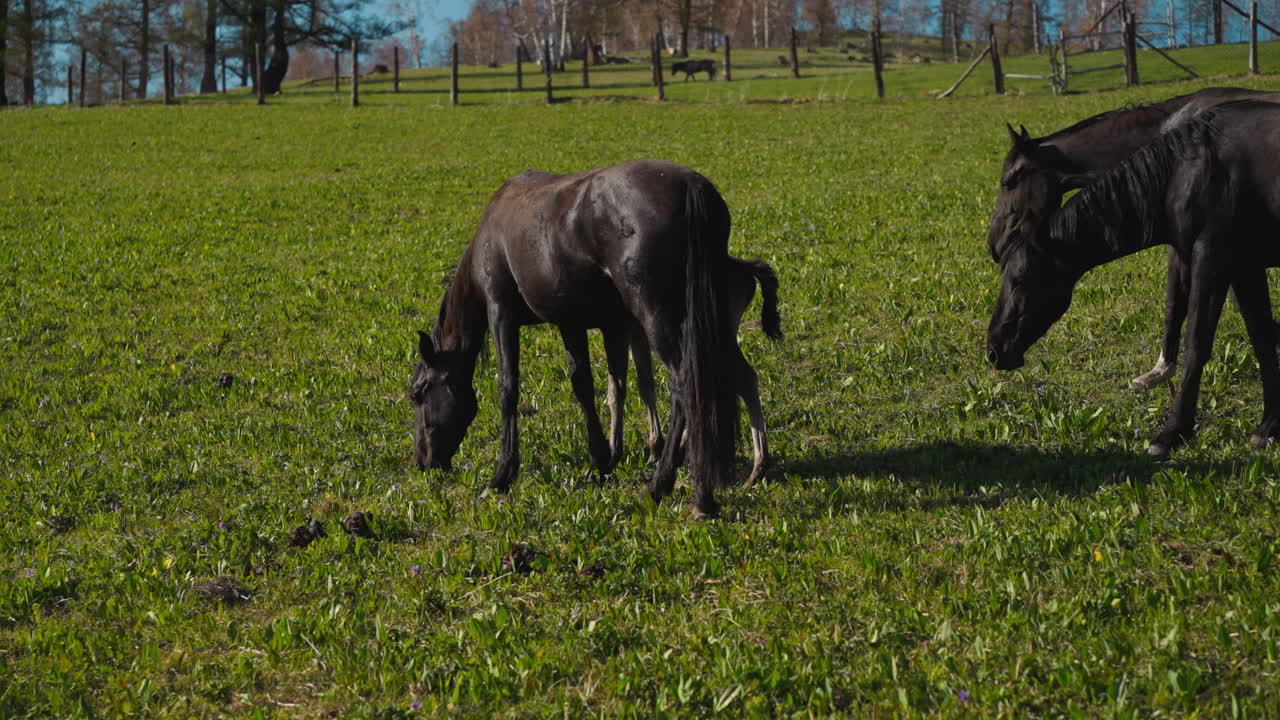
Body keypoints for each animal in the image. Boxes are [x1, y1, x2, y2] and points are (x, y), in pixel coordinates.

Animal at [410, 159, 740, 518]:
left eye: (418, 393)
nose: (422, 462)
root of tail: (690, 186)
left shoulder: (501, 314)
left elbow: (508, 389)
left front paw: (501, 476)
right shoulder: (570, 322)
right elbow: (584, 385)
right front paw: (600, 461)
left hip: (656, 315)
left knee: (683, 386)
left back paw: (662, 487)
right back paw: (701, 494)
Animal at [987, 100, 1280, 457]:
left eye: (1020, 280)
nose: (993, 349)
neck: (1187, 171)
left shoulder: (1211, 261)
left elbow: (1197, 344)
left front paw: (1172, 432)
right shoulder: (1245, 267)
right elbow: (1262, 338)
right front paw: (1269, 426)